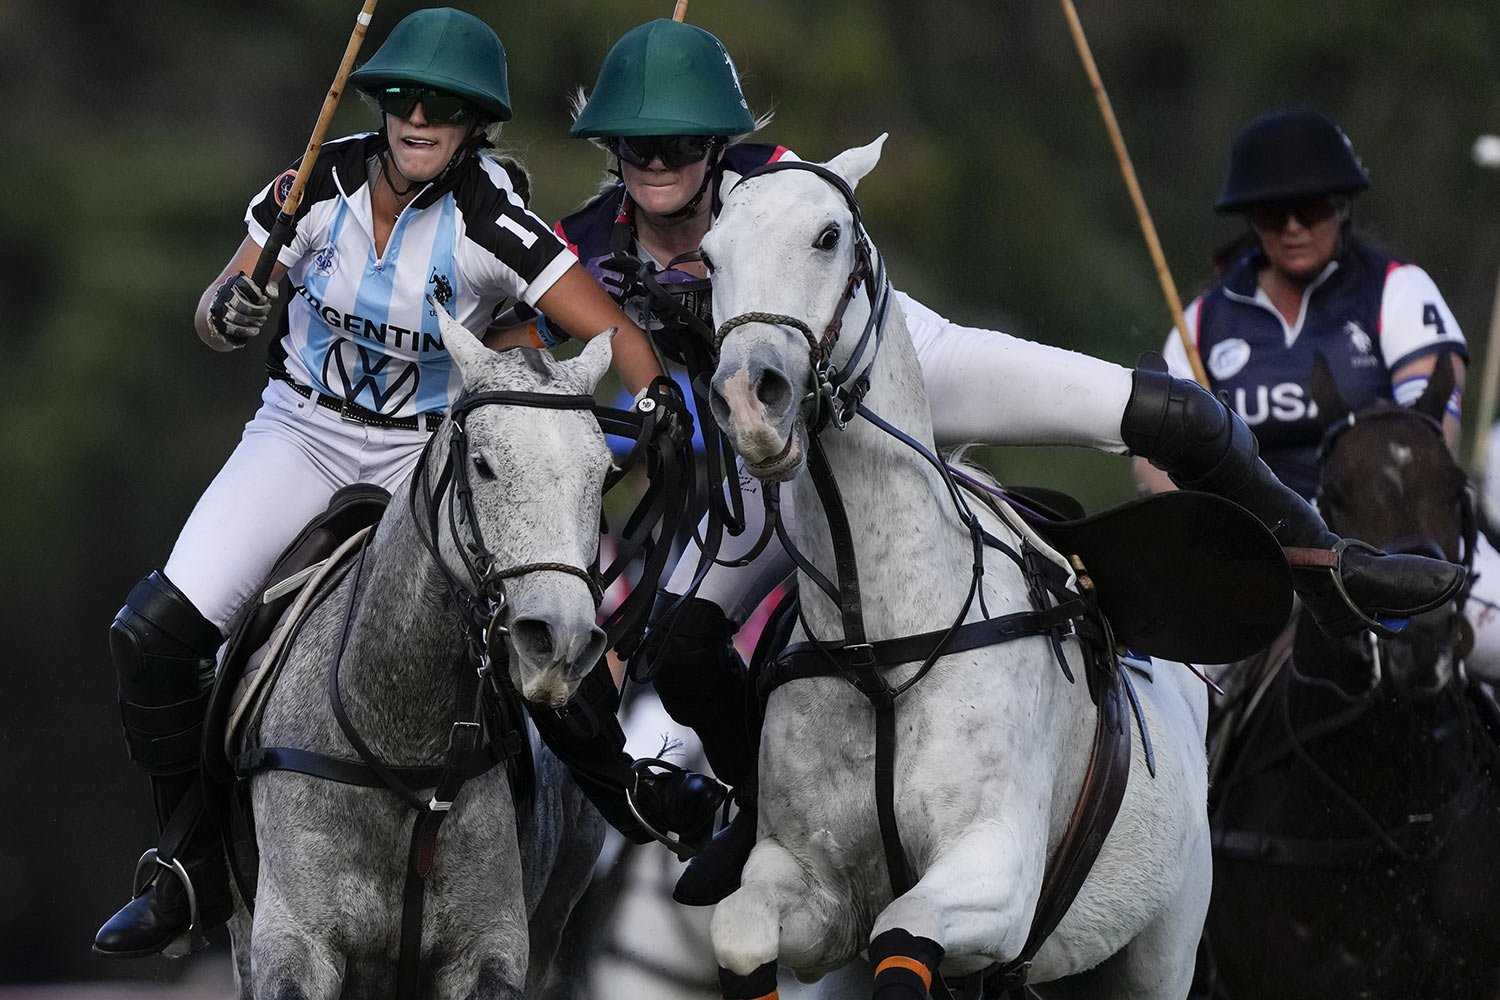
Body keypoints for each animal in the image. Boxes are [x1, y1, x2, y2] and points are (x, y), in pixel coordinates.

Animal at [225, 308, 612, 995]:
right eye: (482, 464)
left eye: (604, 474)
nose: (560, 641)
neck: (402, 749)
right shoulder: (293, 945)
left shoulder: (488, 952)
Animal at [699, 138, 1206, 1000]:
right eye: (709, 256)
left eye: (828, 236)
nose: (747, 399)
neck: (882, 645)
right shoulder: (810, 886)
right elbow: (739, 931)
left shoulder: (996, 877)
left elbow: (904, 931)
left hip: (1159, 953)